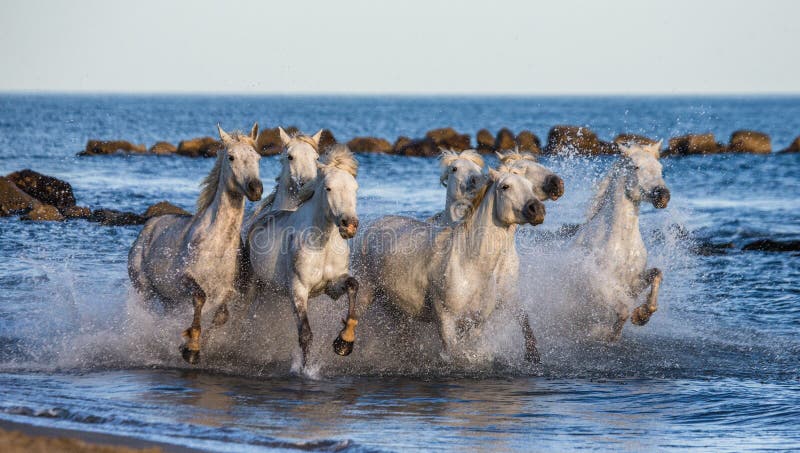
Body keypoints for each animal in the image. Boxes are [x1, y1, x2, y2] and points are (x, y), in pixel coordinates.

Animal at [126, 124, 260, 364]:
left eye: (258, 157)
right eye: (231, 157)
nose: (256, 188)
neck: (217, 245)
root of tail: (148, 227)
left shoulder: (227, 290)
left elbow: (222, 315)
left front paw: (196, 345)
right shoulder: (185, 279)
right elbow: (200, 298)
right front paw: (191, 347)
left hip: (168, 298)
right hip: (145, 290)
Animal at [245, 145, 360, 368]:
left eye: (355, 188)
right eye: (329, 188)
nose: (349, 224)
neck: (322, 243)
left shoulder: (332, 285)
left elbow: (353, 285)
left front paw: (344, 342)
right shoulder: (298, 288)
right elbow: (306, 334)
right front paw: (305, 370)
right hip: (254, 284)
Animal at [354, 170, 548, 364]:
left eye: (531, 187)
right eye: (505, 186)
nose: (537, 209)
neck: (470, 264)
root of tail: (374, 224)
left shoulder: (476, 323)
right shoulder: (446, 318)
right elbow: (454, 354)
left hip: (396, 307)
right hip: (364, 293)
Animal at [568, 141, 668, 340]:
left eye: (660, 168)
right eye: (636, 167)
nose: (663, 195)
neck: (622, 243)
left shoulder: (632, 283)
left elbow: (657, 274)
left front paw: (642, 315)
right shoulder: (601, 285)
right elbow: (622, 310)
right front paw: (610, 335)